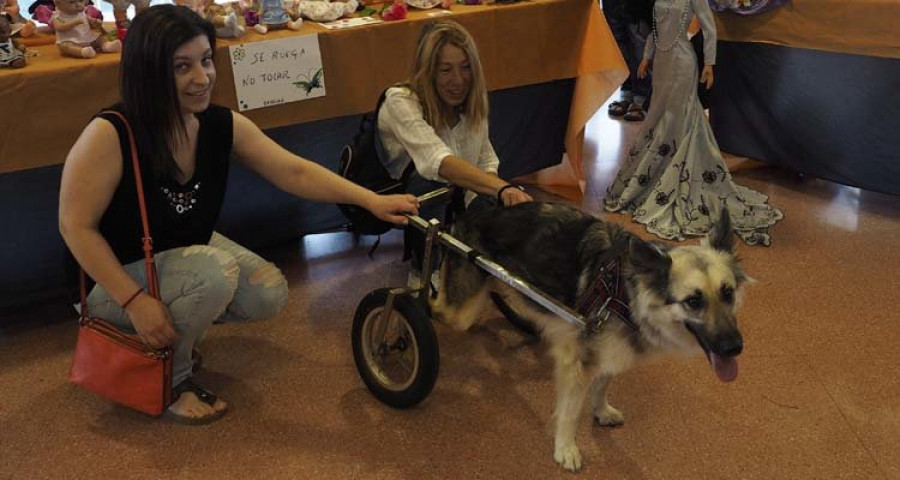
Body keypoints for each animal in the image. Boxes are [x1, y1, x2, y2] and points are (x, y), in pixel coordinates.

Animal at [428, 201, 744, 470]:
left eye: (728, 293)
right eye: (694, 301)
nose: (735, 348)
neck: (628, 292)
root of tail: (470, 215)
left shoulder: (608, 350)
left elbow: (603, 384)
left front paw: (601, 411)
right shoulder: (578, 362)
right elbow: (570, 411)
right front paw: (565, 448)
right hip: (458, 311)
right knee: (436, 307)